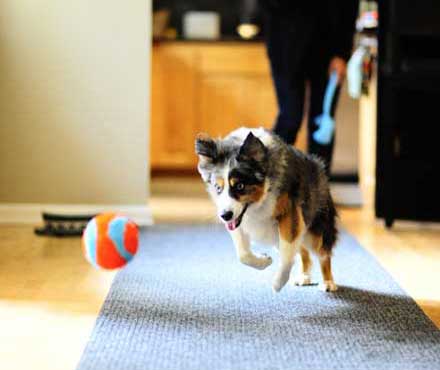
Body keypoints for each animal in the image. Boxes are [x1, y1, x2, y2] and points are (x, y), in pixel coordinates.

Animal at [195, 127, 336, 292]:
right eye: (218, 188)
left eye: (240, 186)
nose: (225, 215)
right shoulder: (237, 221)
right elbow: (243, 254)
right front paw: (265, 260)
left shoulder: (290, 212)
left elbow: (287, 251)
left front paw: (279, 282)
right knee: (303, 251)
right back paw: (303, 276)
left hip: (317, 229)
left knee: (323, 254)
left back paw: (328, 283)